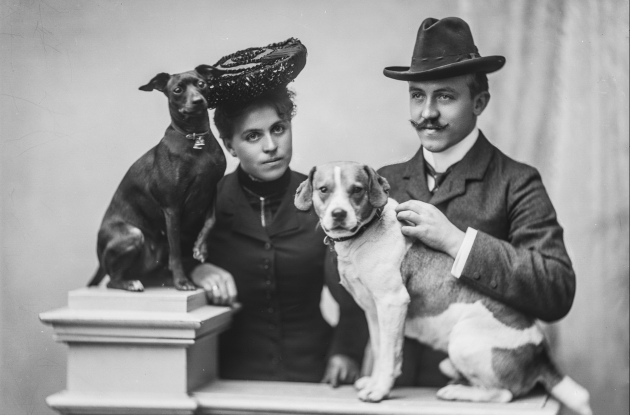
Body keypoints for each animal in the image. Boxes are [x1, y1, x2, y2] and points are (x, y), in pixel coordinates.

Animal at [89, 66, 227, 292]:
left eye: (201, 84)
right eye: (177, 90)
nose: (198, 101)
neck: (195, 138)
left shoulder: (211, 191)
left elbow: (211, 221)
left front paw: (200, 248)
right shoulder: (171, 209)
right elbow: (176, 251)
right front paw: (182, 282)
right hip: (133, 234)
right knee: (111, 281)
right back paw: (130, 283)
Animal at [296, 162, 592, 415]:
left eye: (357, 190)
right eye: (324, 190)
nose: (338, 214)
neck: (363, 235)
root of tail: (541, 354)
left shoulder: (392, 303)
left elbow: (390, 355)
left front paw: (380, 391)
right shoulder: (373, 312)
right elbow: (382, 351)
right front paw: (374, 382)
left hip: (461, 341)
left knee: (504, 393)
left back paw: (457, 392)